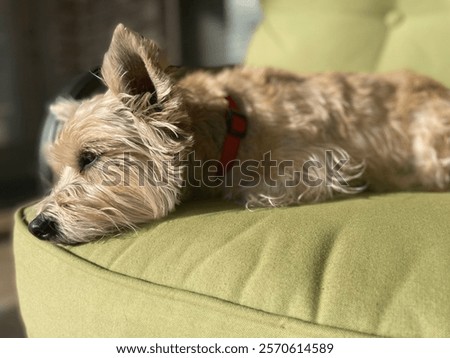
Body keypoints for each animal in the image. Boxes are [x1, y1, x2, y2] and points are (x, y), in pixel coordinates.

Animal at [28, 23, 450, 245]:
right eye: (59, 169)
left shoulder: (323, 161)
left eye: (90, 158)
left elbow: (257, 187)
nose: (36, 226)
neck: (227, 129)